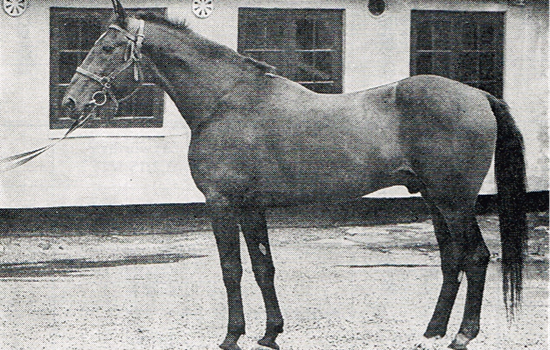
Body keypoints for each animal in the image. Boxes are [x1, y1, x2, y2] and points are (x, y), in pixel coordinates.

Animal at [61, 1, 532, 348]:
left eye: (107, 48)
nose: (70, 102)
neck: (226, 101)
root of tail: (478, 95)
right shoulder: (251, 207)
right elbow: (262, 266)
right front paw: (270, 333)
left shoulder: (221, 204)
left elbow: (231, 268)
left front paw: (232, 336)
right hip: (434, 200)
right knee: (452, 260)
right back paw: (433, 330)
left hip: (455, 203)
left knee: (476, 257)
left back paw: (463, 335)